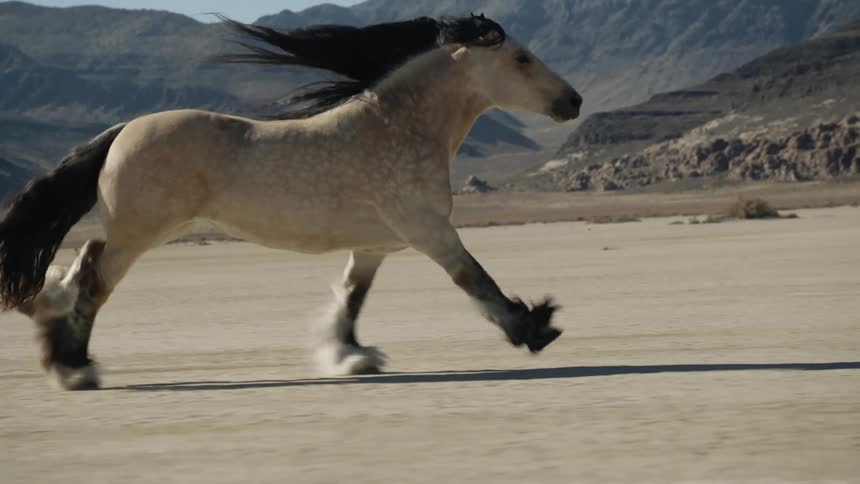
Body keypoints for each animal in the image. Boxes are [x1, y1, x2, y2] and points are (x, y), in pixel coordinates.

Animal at [0, 14, 582, 390]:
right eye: (521, 58)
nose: (572, 101)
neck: (399, 127)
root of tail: (121, 132)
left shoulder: (375, 245)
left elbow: (351, 298)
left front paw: (350, 356)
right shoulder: (430, 231)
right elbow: (477, 280)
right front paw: (537, 328)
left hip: (137, 230)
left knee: (80, 266)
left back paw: (54, 343)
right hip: (140, 233)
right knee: (93, 285)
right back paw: (77, 368)